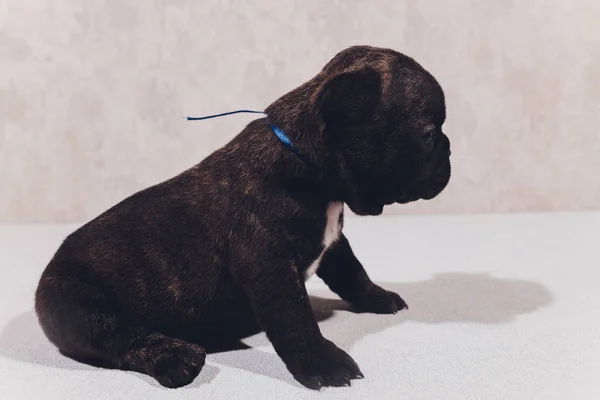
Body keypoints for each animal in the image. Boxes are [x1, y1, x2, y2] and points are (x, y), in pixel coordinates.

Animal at [34, 45, 450, 390]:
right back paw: (177, 358)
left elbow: (353, 273)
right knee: (122, 337)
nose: (448, 148)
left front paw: (379, 297)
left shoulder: (333, 243)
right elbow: (295, 320)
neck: (308, 164)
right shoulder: (269, 267)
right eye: (428, 134)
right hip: (76, 303)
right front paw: (323, 364)